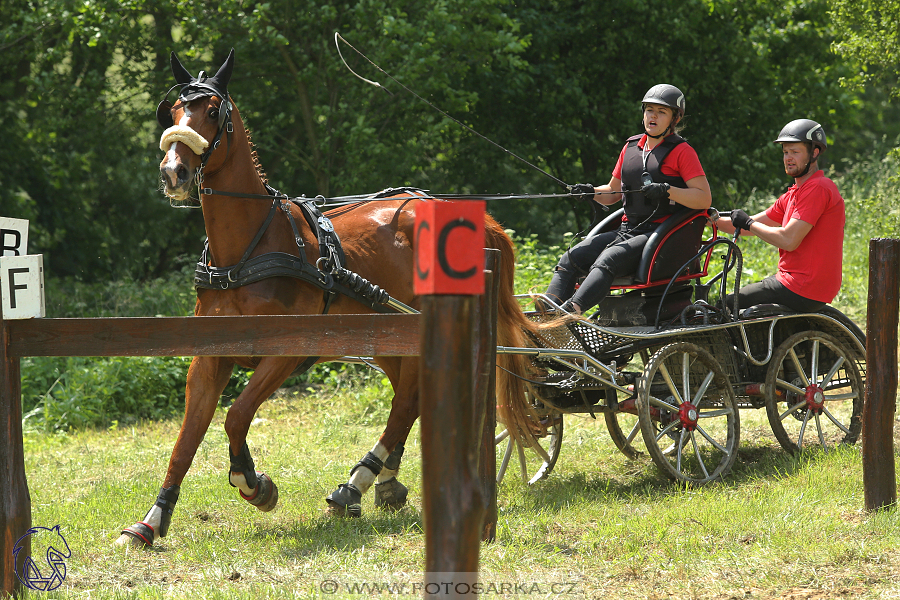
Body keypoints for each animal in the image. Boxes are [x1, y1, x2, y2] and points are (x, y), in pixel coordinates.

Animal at [117, 51, 544, 548]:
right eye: (172, 112)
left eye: (213, 112)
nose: (173, 171)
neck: (248, 251)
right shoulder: (208, 358)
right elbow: (185, 440)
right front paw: (151, 520)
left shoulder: (285, 353)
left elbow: (236, 416)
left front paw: (253, 483)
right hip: (389, 338)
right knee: (410, 399)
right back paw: (381, 480)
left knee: (407, 403)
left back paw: (358, 481)